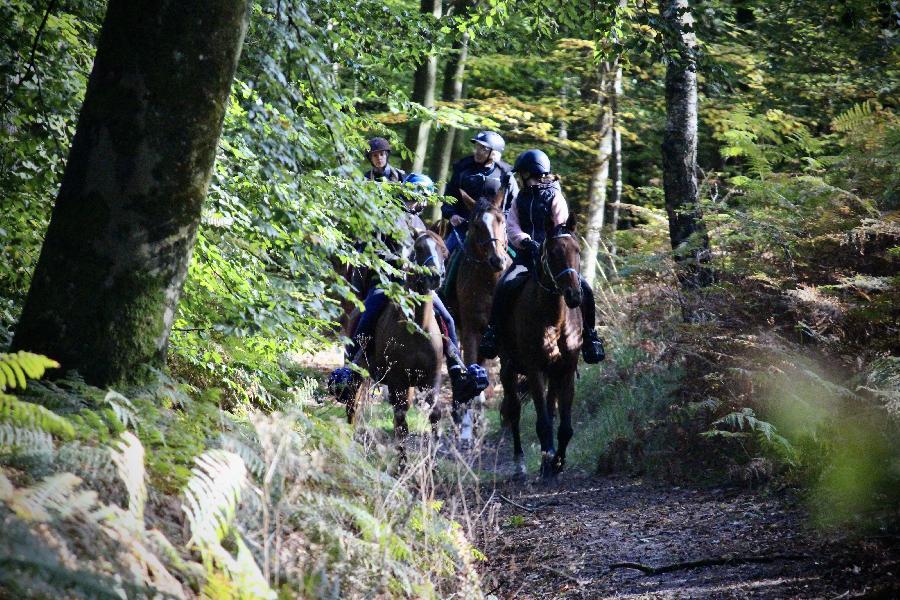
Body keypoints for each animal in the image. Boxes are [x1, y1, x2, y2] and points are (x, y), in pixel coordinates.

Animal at [348, 230, 454, 460]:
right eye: (419, 248)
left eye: (445, 251)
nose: (435, 276)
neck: (417, 329)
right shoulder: (397, 381)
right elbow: (401, 423)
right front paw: (402, 463)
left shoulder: (430, 379)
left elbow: (435, 414)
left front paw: (430, 461)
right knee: (353, 406)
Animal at [500, 213, 584, 480]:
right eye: (553, 252)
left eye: (577, 250)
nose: (574, 295)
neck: (554, 319)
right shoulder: (534, 370)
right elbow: (543, 422)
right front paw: (547, 460)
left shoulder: (566, 370)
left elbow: (564, 425)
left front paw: (557, 462)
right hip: (508, 369)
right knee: (514, 410)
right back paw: (520, 464)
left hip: (552, 373)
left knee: (549, 406)